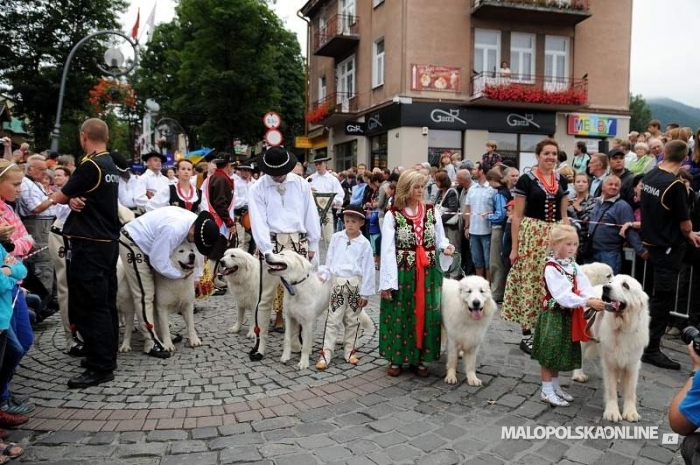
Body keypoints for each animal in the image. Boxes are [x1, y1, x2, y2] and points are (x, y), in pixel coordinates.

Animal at [572, 274, 648, 422]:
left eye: (625, 285)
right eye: (611, 282)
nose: (606, 288)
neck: (622, 328)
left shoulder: (632, 364)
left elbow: (630, 390)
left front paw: (631, 412)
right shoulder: (610, 363)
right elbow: (611, 390)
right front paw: (612, 412)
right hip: (584, 336)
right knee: (580, 355)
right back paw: (579, 375)